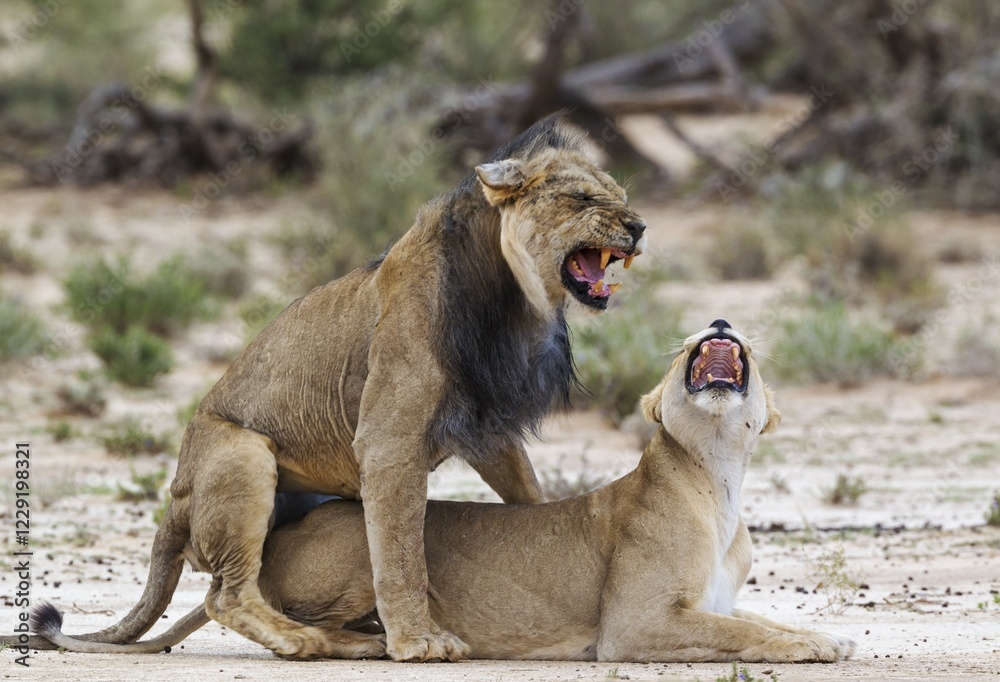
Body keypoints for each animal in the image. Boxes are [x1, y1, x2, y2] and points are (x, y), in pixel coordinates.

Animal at [26, 115, 647, 662]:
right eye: (584, 199)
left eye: (620, 194)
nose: (640, 227)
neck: (513, 296)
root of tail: (175, 503)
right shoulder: (389, 441)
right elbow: (400, 551)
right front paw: (418, 642)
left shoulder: (485, 427)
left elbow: (527, 496)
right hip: (243, 454)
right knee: (227, 594)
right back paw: (312, 642)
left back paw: (351, 640)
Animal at [33, 319, 855, 663]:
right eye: (690, 342)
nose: (718, 320)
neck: (718, 477)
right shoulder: (634, 626)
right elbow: (745, 634)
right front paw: (816, 644)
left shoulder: (702, 604)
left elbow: (753, 620)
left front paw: (827, 635)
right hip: (341, 535)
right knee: (235, 598)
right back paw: (342, 643)